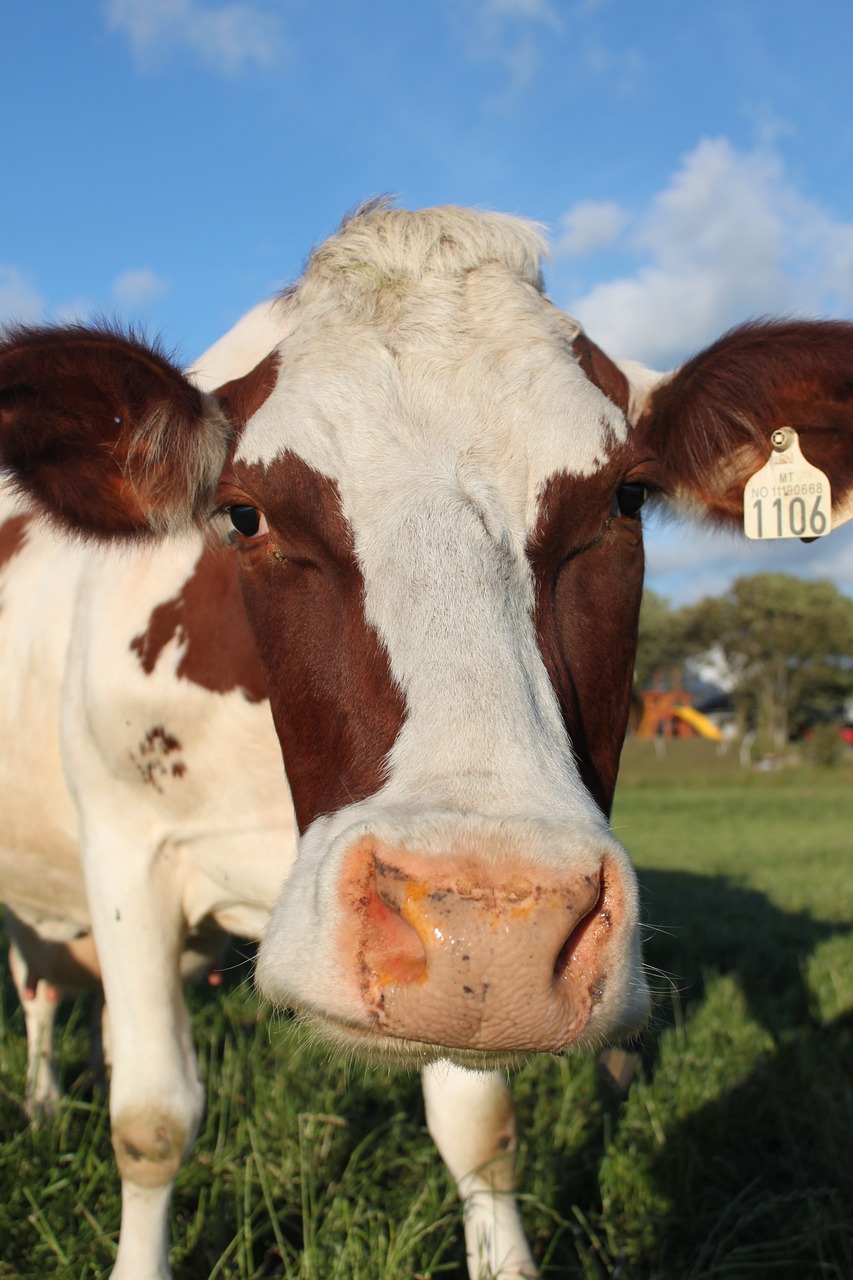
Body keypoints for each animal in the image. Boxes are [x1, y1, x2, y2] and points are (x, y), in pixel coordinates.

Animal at [1, 202, 850, 1280]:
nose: (496, 924)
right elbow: (151, 1121)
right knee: (39, 990)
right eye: (243, 511)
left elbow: (479, 1128)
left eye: (626, 498)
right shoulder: (128, 848)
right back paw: (37, 1105)